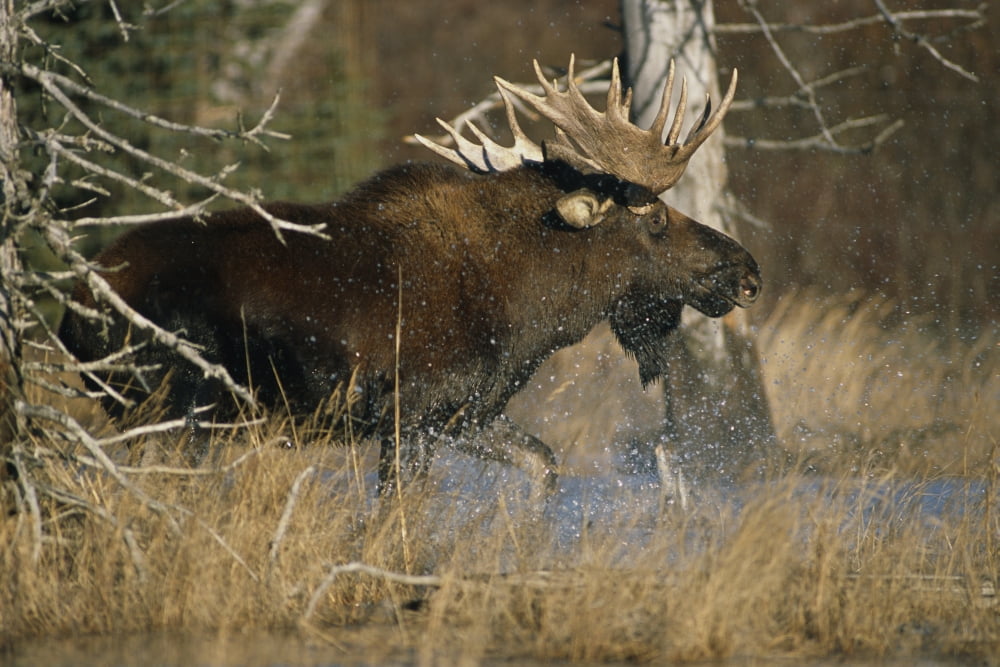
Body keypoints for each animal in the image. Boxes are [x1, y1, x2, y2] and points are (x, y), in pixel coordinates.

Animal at [59, 56, 762, 496]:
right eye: (657, 220)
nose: (748, 271)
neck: (532, 312)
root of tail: (73, 310)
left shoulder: (464, 414)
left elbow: (542, 464)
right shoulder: (410, 412)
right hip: (177, 410)